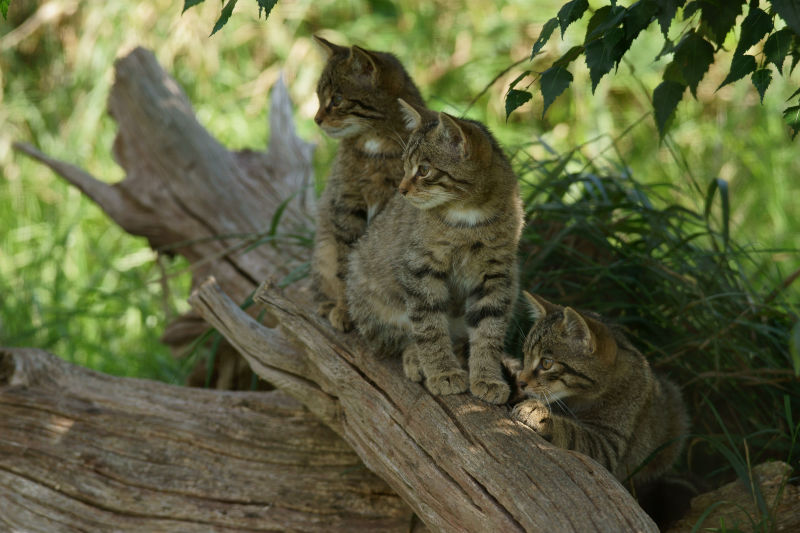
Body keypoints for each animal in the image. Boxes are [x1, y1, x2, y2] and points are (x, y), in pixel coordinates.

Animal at [310, 35, 428, 330]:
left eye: (337, 99)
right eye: (318, 96)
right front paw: (343, 309)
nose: (316, 119)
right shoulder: (345, 204)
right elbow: (345, 265)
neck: (375, 148)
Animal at [346, 100, 524, 404]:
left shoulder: (497, 274)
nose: (401, 190)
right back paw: (417, 359)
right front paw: (443, 372)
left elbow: (489, 329)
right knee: (398, 338)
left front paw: (487, 377)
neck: (469, 218)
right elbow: (429, 326)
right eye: (405, 166)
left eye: (424, 170)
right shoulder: (419, 267)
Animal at [506, 294, 688, 484]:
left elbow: (573, 432)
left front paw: (538, 413)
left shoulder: (607, 445)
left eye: (546, 363)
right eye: (525, 356)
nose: (521, 381)